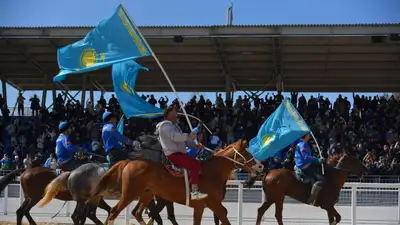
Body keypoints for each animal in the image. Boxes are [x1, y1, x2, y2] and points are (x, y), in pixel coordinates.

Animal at [86, 139, 262, 225]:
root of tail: (129, 162)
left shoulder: (200, 207)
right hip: (129, 194)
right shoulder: (214, 204)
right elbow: (224, 219)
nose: (261, 166)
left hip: (146, 195)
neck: (213, 171)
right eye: (247, 153)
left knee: (136, 212)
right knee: (114, 212)